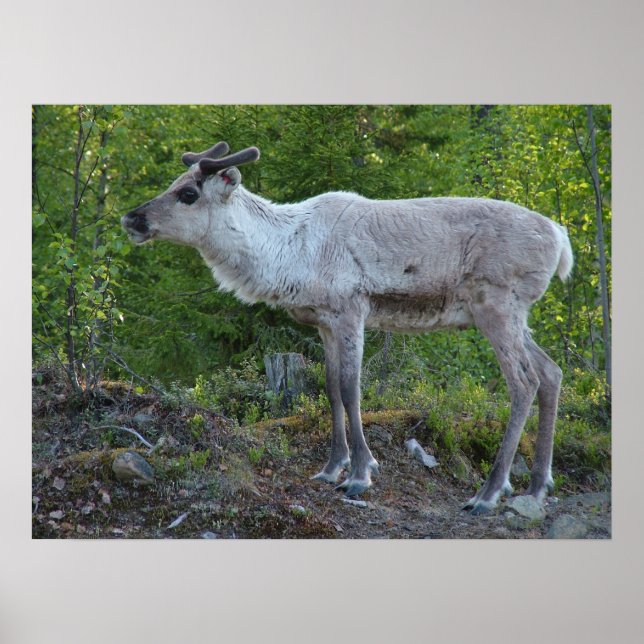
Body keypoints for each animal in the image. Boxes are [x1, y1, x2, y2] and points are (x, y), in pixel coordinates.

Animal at [122, 141, 573, 515]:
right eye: (174, 183)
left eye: (189, 194)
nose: (131, 218)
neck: (288, 253)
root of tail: (561, 239)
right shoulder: (323, 321)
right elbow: (330, 387)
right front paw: (330, 467)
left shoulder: (351, 310)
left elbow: (352, 388)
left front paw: (360, 474)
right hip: (512, 314)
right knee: (551, 371)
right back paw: (537, 486)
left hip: (495, 304)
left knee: (524, 381)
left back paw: (489, 493)